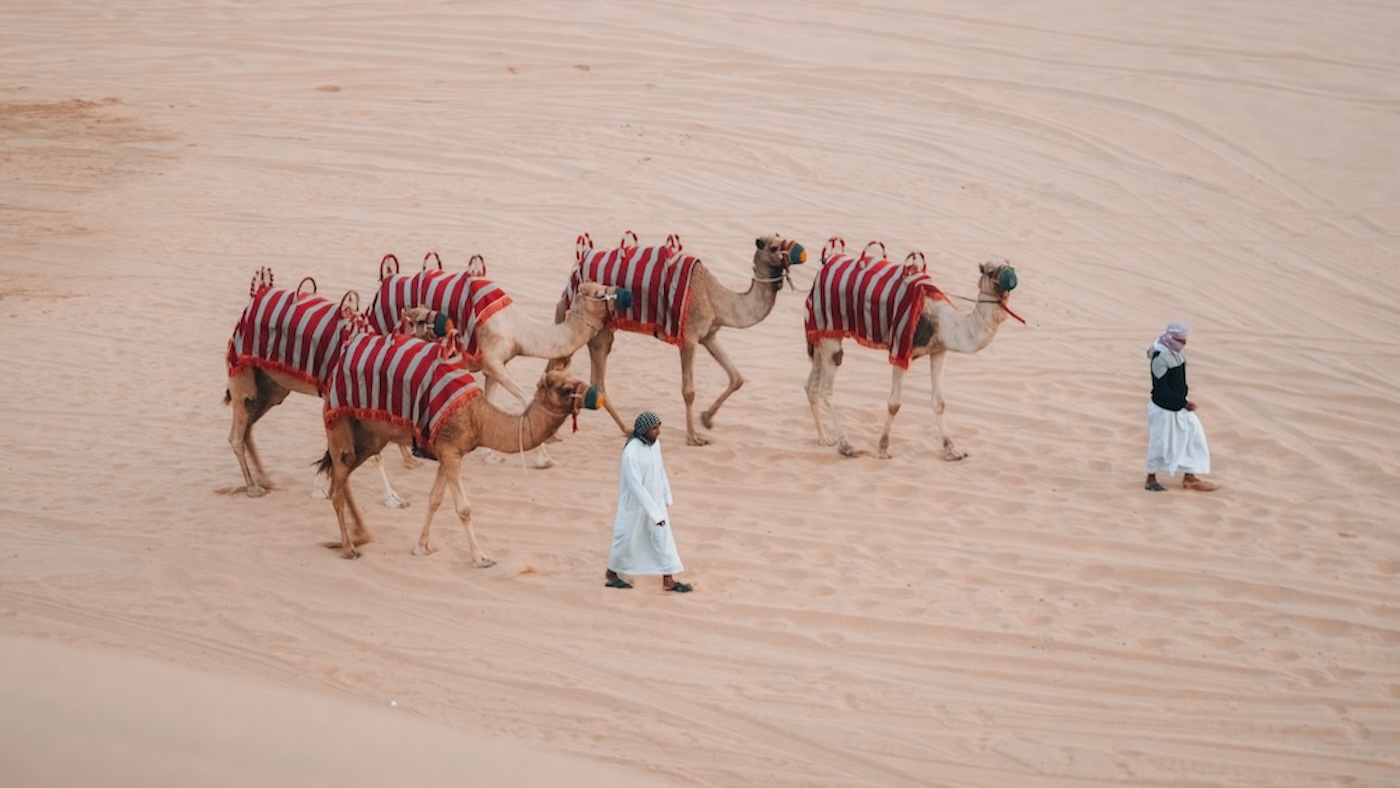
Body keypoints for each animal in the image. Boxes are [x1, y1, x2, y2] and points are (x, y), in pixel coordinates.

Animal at [225, 268, 442, 506]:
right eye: (420, 319)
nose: (445, 325)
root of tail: (254, 297)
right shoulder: (339, 399)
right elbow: (371, 454)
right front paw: (392, 498)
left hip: (273, 386)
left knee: (249, 425)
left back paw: (266, 480)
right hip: (241, 370)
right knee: (237, 432)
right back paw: (253, 487)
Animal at [317, 333, 602, 568]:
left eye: (573, 379)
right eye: (565, 388)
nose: (595, 396)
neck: (478, 418)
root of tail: (335, 367)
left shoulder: (447, 453)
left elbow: (434, 499)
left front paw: (421, 547)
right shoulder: (450, 451)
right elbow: (464, 508)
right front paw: (481, 558)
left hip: (370, 436)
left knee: (343, 475)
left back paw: (360, 535)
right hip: (338, 418)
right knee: (338, 483)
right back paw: (349, 548)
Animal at [551, 230, 806, 447]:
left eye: (781, 238)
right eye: (774, 247)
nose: (801, 253)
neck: (717, 298)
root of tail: (574, 273)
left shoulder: (709, 335)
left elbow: (737, 377)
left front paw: (707, 419)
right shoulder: (689, 338)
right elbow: (689, 391)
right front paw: (694, 437)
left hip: (599, 328)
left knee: (593, 380)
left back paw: (624, 429)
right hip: (591, 325)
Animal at [806, 240, 1024, 461]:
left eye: (1010, 265)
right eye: (989, 271)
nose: (1009, 278)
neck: (942, 322)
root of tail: (825, 264)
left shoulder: (939, 351)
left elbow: (939, 402)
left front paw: (952, 450)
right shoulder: (901, 350)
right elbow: (894, 403)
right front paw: (883, 449)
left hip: (820, 334)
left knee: (811, 384)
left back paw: (824, 438)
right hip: (830, 328)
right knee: (827, 386)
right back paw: (847, 445)